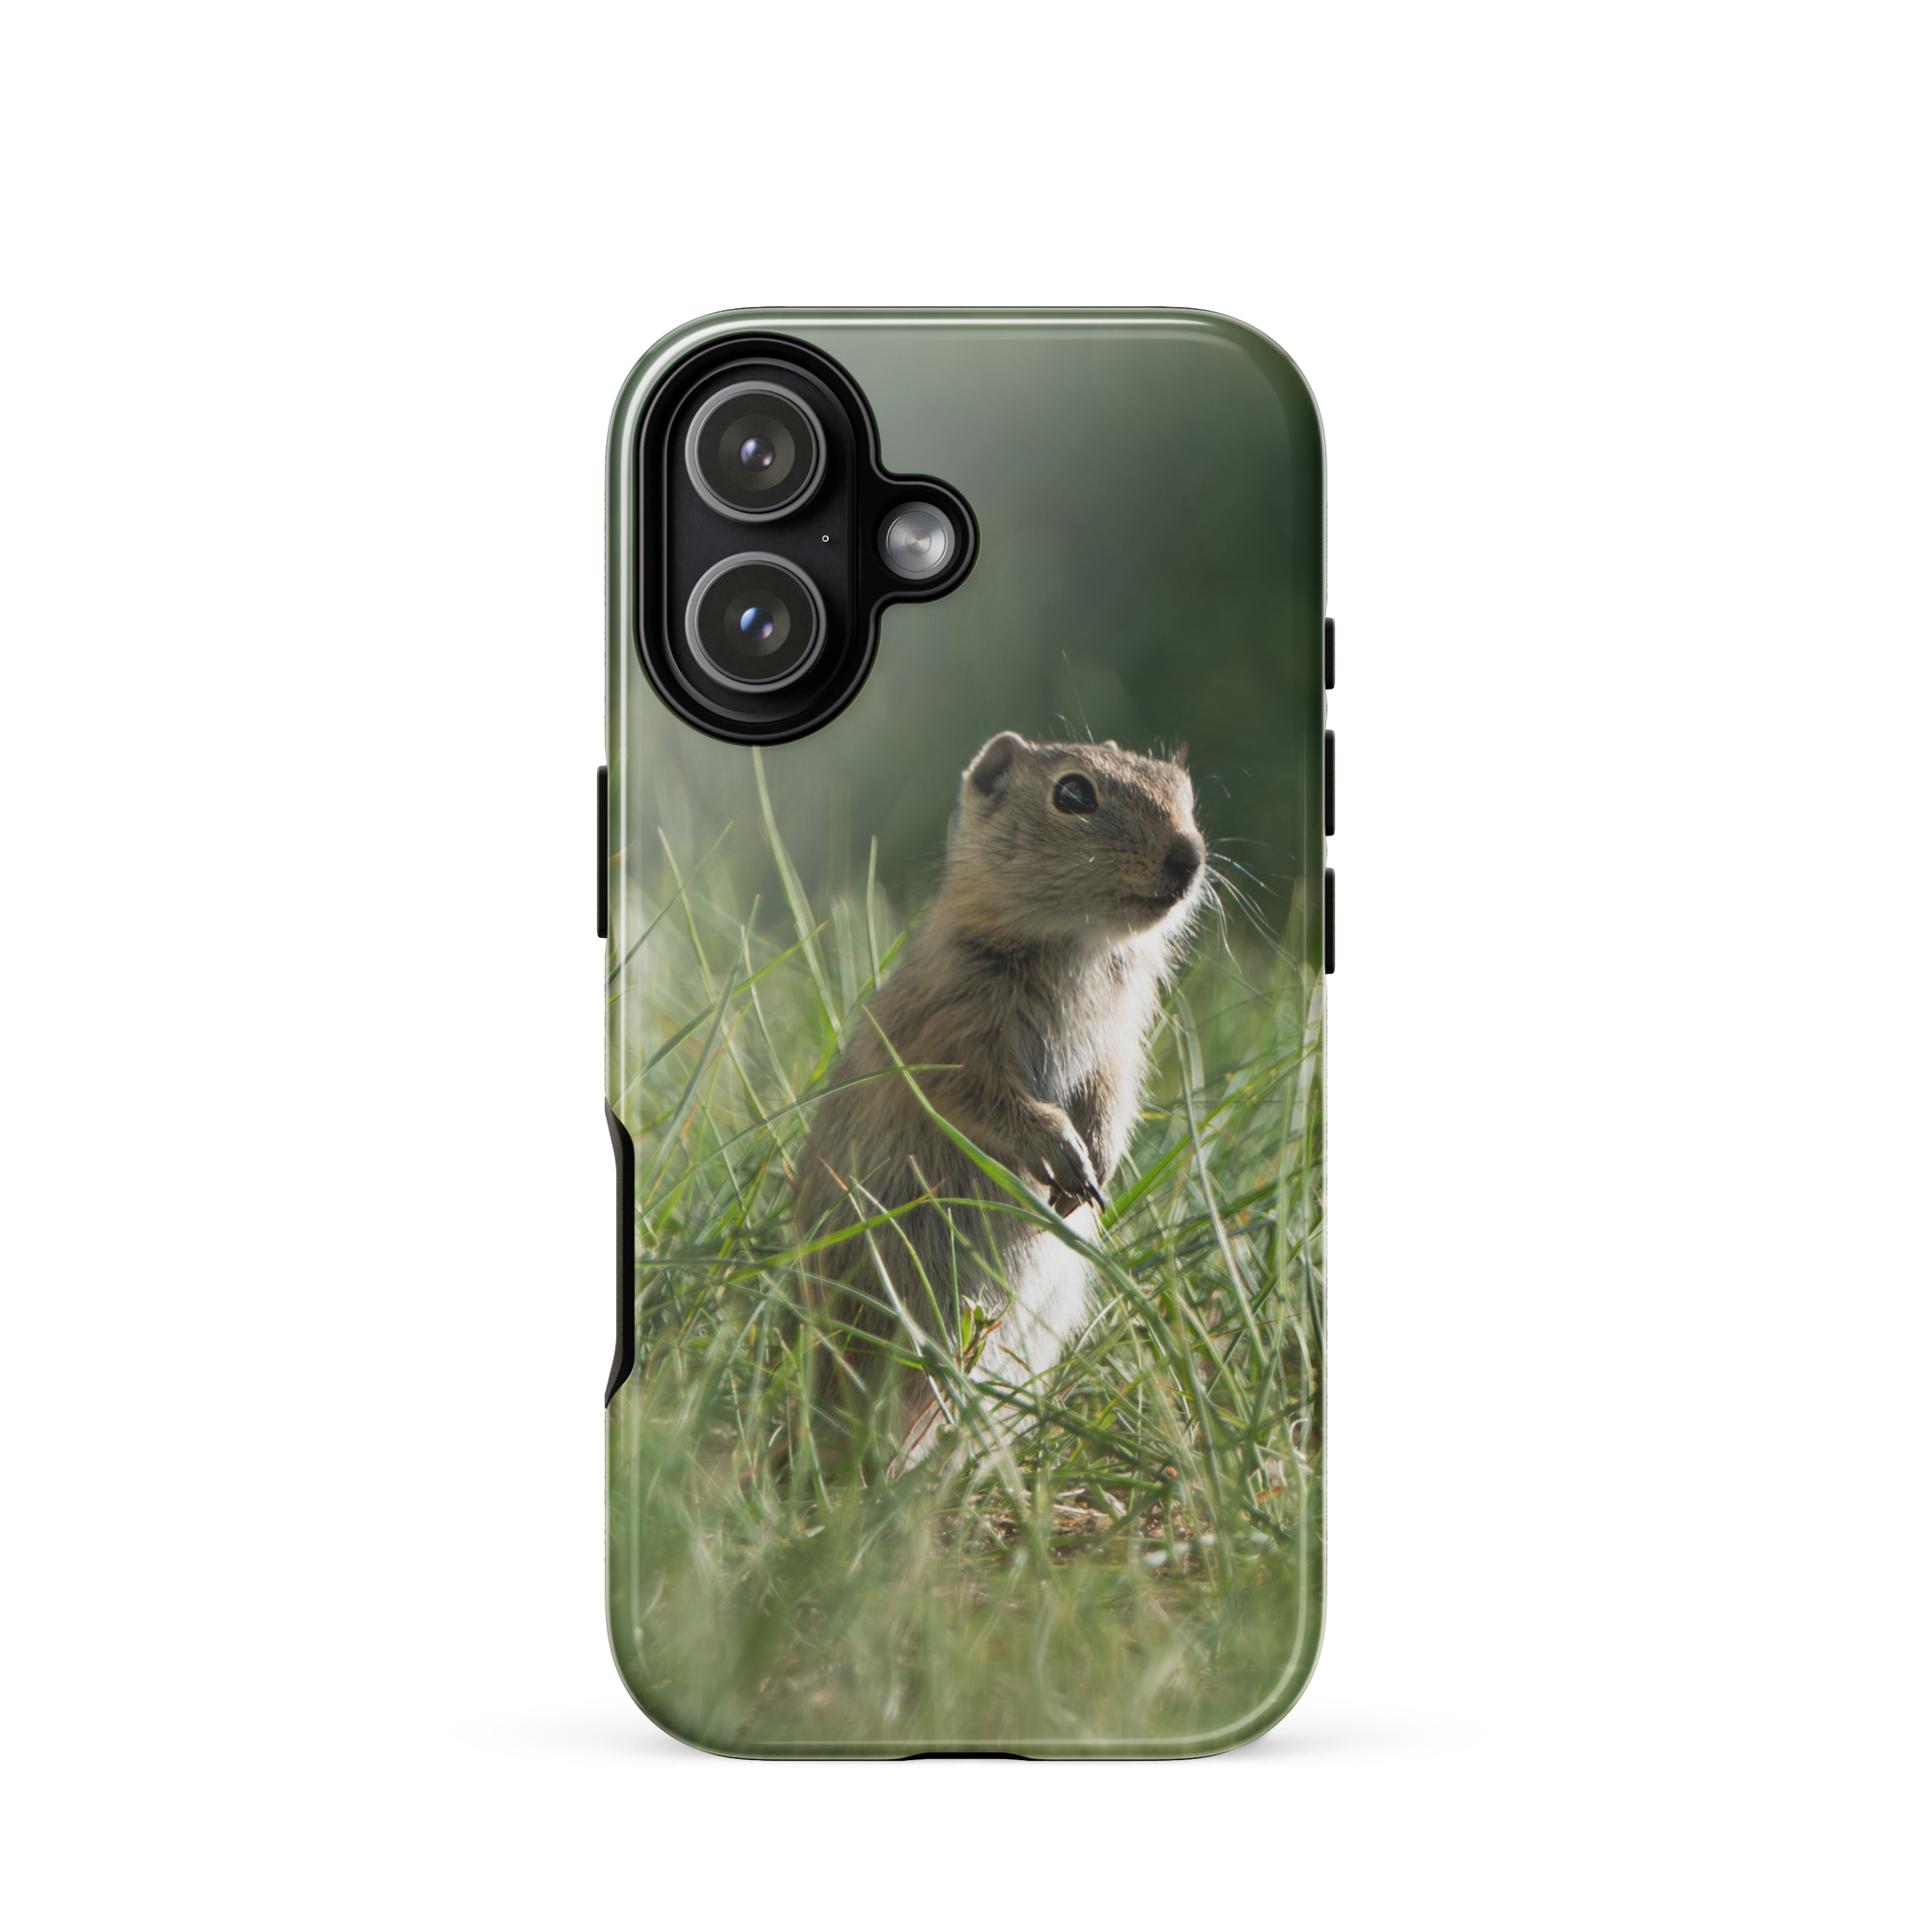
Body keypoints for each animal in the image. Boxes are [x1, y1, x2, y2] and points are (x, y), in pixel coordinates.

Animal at [793, 730, 1208, 1475]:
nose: (1188, 858)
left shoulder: (1120, 1046)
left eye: (1184, 794)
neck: (1077, 947)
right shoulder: (954, 1039)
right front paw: (1065, 1159)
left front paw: (1093, 1173)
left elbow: (1113, 1097)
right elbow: (990, 1099)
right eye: (1073, 793)